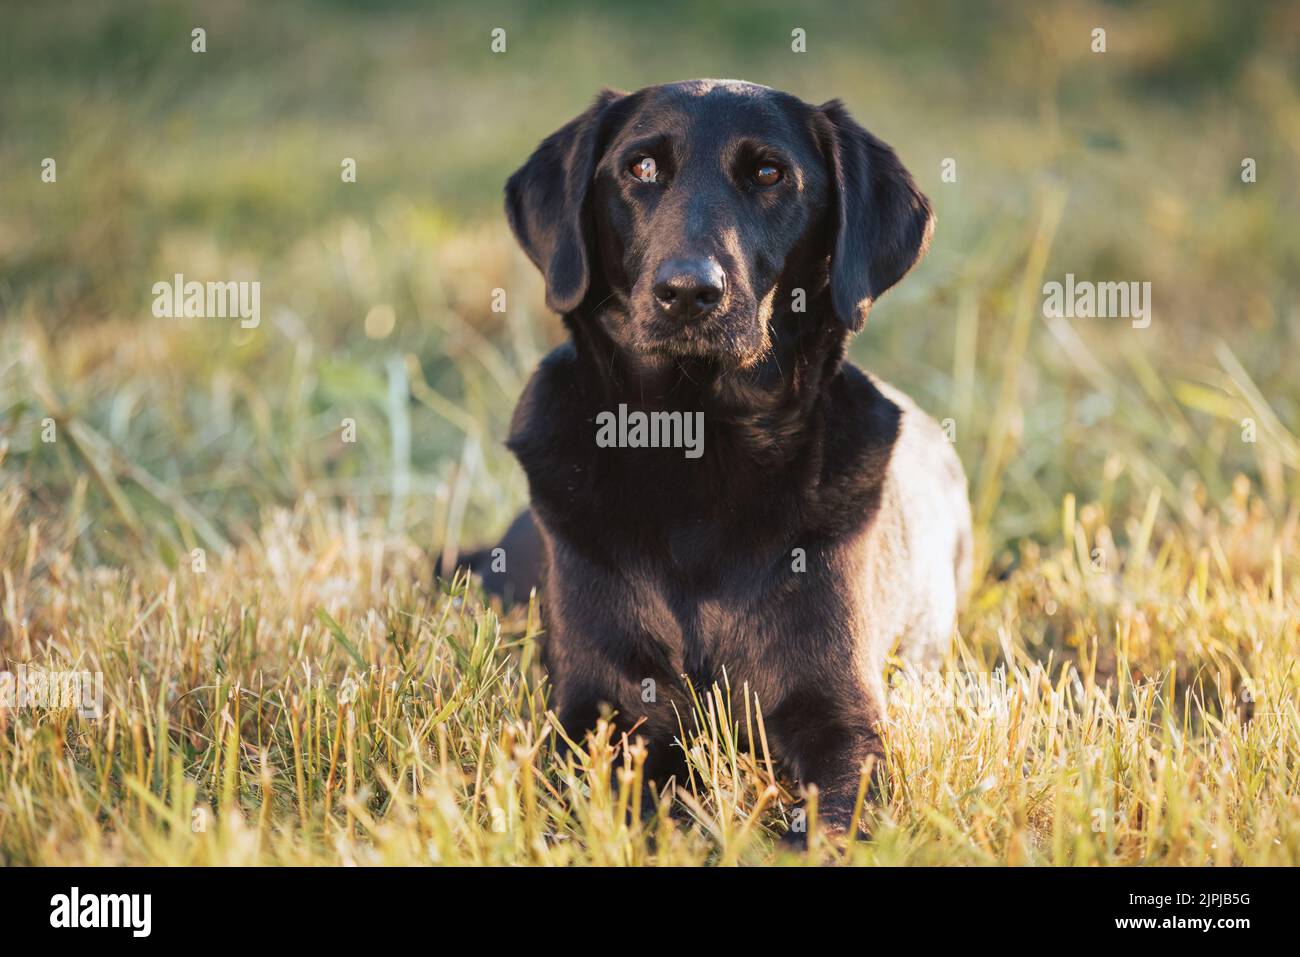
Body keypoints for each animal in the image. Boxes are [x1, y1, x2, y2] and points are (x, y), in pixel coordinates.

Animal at [462, 80, 972, 832]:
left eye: (769, 174)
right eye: (642, 168)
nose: (688, 293)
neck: (695, 442)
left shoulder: (843, 714)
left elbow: (834, 818)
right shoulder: (596, 714)